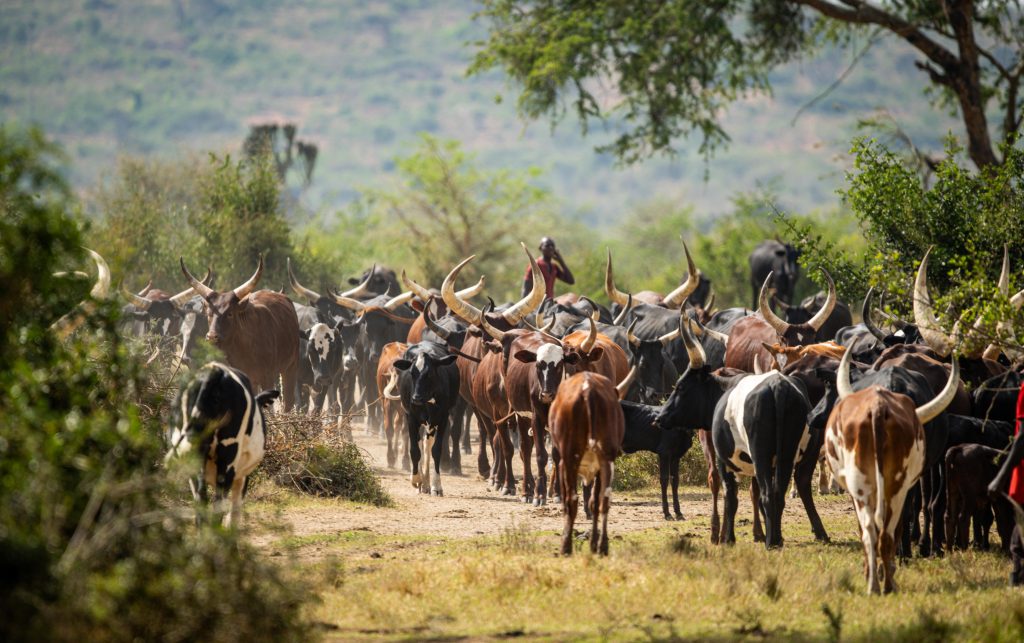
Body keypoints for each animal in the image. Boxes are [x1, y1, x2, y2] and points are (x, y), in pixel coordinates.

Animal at [166, 362, 278, 526]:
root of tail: (215, 370)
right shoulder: (242, 475)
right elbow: (235, 511)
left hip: (192, 454)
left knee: (201, 500)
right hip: (228, 457)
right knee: (218, 503)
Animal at [181, 255, 300, 411]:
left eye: (230, 313)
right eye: (209, 313)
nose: (212, 336)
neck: (246, 348)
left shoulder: (268, 376)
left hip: (290, 367)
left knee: (288, 401)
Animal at [383, 341, 460, 496]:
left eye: (429, 374)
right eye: (412, 373)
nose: (416, 398)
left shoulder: (443, 419)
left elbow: (436, 450)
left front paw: (436, 486)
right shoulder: (411, 418)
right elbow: (414, 450)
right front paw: (416, 479)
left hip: (431, 423)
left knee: (426, 446)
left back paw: (426, 483)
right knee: (420, 445)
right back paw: (422, 482)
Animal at [549, 371, 625, 556]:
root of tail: (588, 388)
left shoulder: (562, 464)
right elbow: (594, 502)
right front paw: (593, 543)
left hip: (571, 458)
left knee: (571, 500)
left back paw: (566, 547)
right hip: (607, 459)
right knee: (604, 500)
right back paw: (602, 546)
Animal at [824, 347, 959, 593]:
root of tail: (879, 407)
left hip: (867, 485)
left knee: (872, 529)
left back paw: (876, 580)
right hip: (895, 483)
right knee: (888, 526)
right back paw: (888, 577)